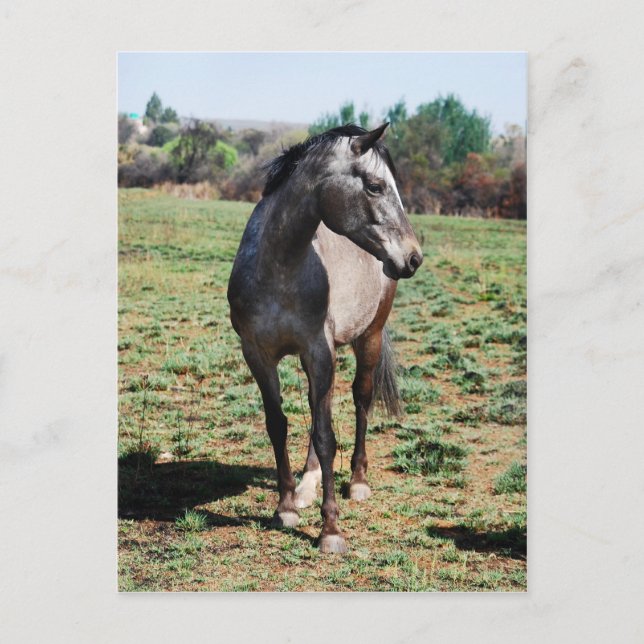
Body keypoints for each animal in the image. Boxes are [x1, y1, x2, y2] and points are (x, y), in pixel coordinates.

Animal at [227, 123, 423, 553]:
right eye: (375, 186)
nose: (414, 257)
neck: (280, 267)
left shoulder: (318, 352)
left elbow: (326, 436)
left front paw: (330, 529)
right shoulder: (259, 355)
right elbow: (279, 425)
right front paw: (286, 507)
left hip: (368, 338)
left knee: (361, 400)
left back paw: (358, 481)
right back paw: (306, 486)